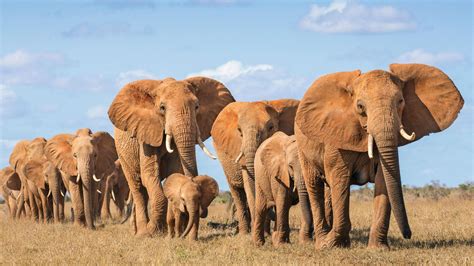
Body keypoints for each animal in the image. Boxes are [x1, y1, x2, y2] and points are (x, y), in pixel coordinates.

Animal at [106, 77, 234, 237]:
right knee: (137, 187)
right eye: (162, 108)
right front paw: (153, 231)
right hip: (123, 154)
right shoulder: (146, 134)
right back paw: (141, 233)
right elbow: (149, 175)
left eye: (197, 106)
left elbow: (175, 172)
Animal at [212, 98, 298, 234]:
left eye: (271, 127)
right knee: (237, 193)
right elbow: (250, 185)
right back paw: (244, 233)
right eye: (239, 131)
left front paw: (268, 233)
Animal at [296, 62, 462, 249]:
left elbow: (384, 180)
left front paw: (378, 249)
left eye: (400, 101)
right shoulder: (336, 136)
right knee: (314, 185)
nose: (408, 234)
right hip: (303, 149)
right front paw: (330, 245)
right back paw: (322, 242)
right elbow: (340, 179)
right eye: (360, 106)